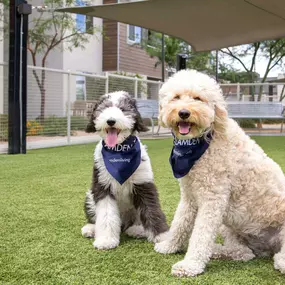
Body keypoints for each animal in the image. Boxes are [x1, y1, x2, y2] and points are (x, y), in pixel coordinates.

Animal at [81, 91, 168, 248]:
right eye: (104, 108)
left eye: (123, 109)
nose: (110, 121)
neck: (119, 150)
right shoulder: (102, 186)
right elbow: (106, 214)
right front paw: (106, 240)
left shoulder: (143, 185)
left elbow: (152, 210)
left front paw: (164, 237)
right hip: (90, 197)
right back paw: (90, 229)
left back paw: (137, 230)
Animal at [154, 70, 284, 276]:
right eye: (176, 97)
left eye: (198, 98)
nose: (184, 113)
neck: (205, 140)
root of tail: (268, 247)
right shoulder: (189, 195)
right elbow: (180, 223)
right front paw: (169, 246)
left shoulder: (213, 199)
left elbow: (201, 235)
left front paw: (190, 264)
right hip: (231, 227)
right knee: (242, 253)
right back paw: (217, 251)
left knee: (278, 258)